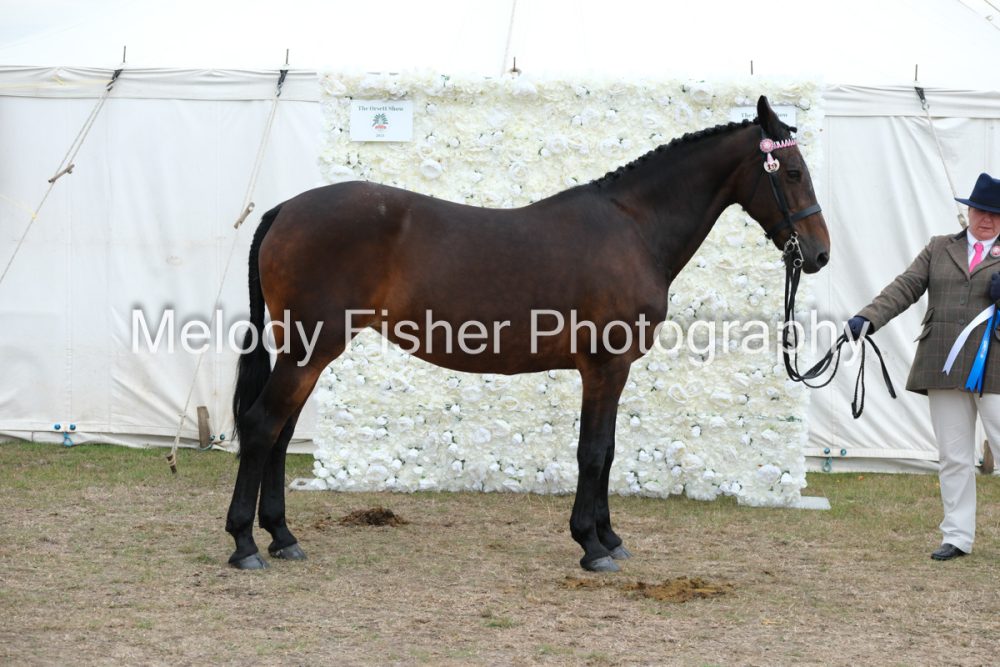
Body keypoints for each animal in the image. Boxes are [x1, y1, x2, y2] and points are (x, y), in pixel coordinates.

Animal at [226, 96, 830, 572]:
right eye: (792, 172)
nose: (820, 253)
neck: (634, 228)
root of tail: (286, 209)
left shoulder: (612, 370)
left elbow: (608, 450)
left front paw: (610, 537)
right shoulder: (605, 365)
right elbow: (595, 451)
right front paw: (591, 546)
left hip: (305, 352)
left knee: (280, 432)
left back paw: (282, 537)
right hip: (309, 349)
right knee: (261, 426)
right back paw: (244, 545)